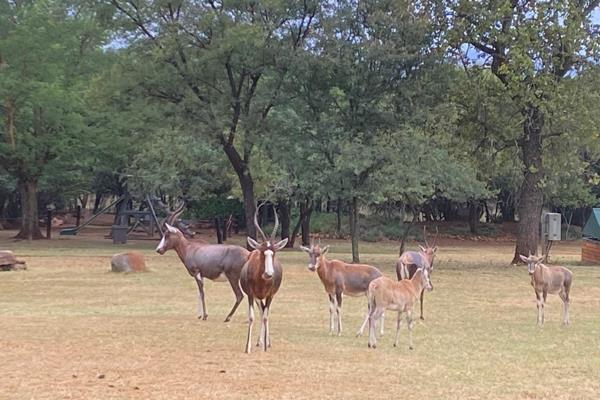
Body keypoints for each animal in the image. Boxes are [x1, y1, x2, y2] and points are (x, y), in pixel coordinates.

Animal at [239, 205, 288, 352]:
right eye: (262, 252)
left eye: (274, 253)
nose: (269, 274)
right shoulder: (251, 295)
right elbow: (252, 317)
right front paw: (247, 347)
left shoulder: (270, 295)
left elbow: (266, 317)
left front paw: (266, 346)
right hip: (257, 298)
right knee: (261, 312)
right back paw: (259, 342)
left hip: (265, 297)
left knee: (265, 314)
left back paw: (267, 342)